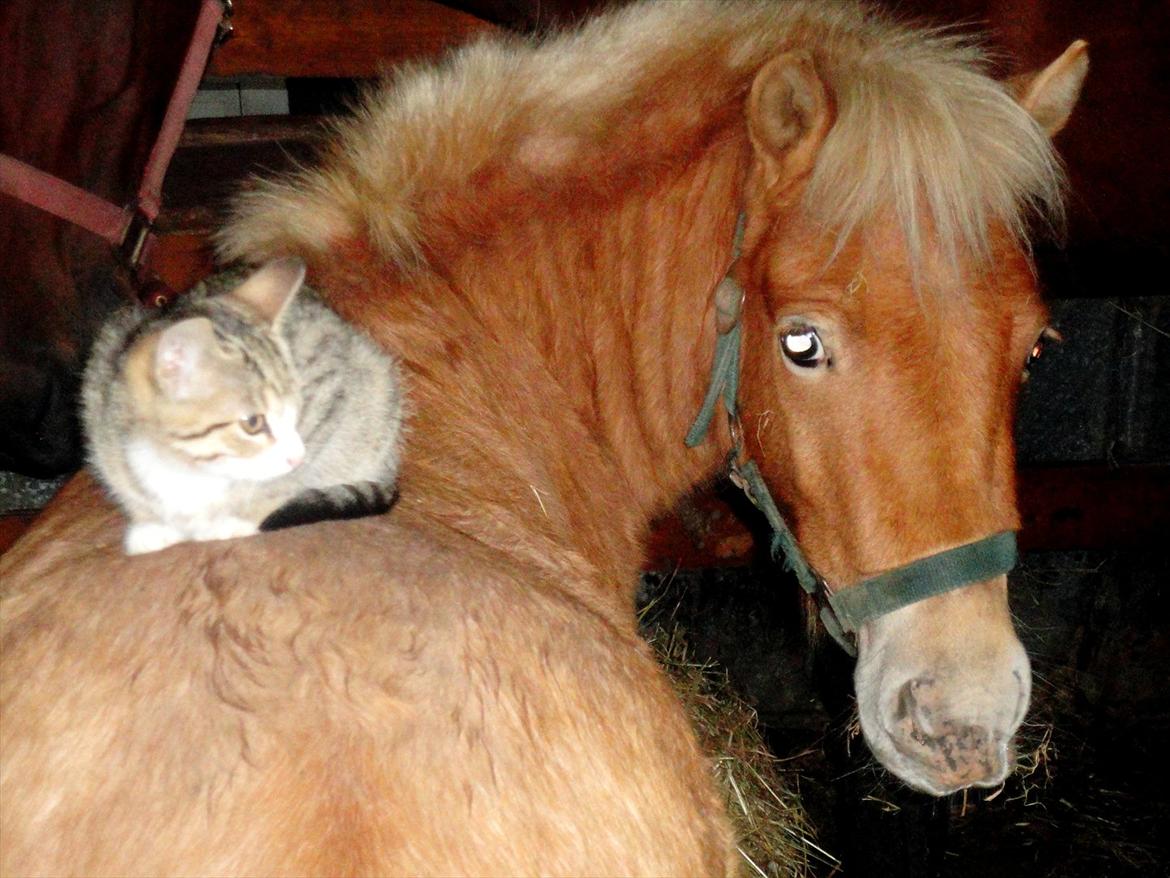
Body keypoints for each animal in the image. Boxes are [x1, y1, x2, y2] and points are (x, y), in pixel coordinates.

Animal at [80, 256, 404, 557]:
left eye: (296, 409)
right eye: (253, 423)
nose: (296, 456)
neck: (187, 464)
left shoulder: (327, 385)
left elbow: (285, 477)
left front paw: (235, 519)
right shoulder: (100, 391)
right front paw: (150, 526)